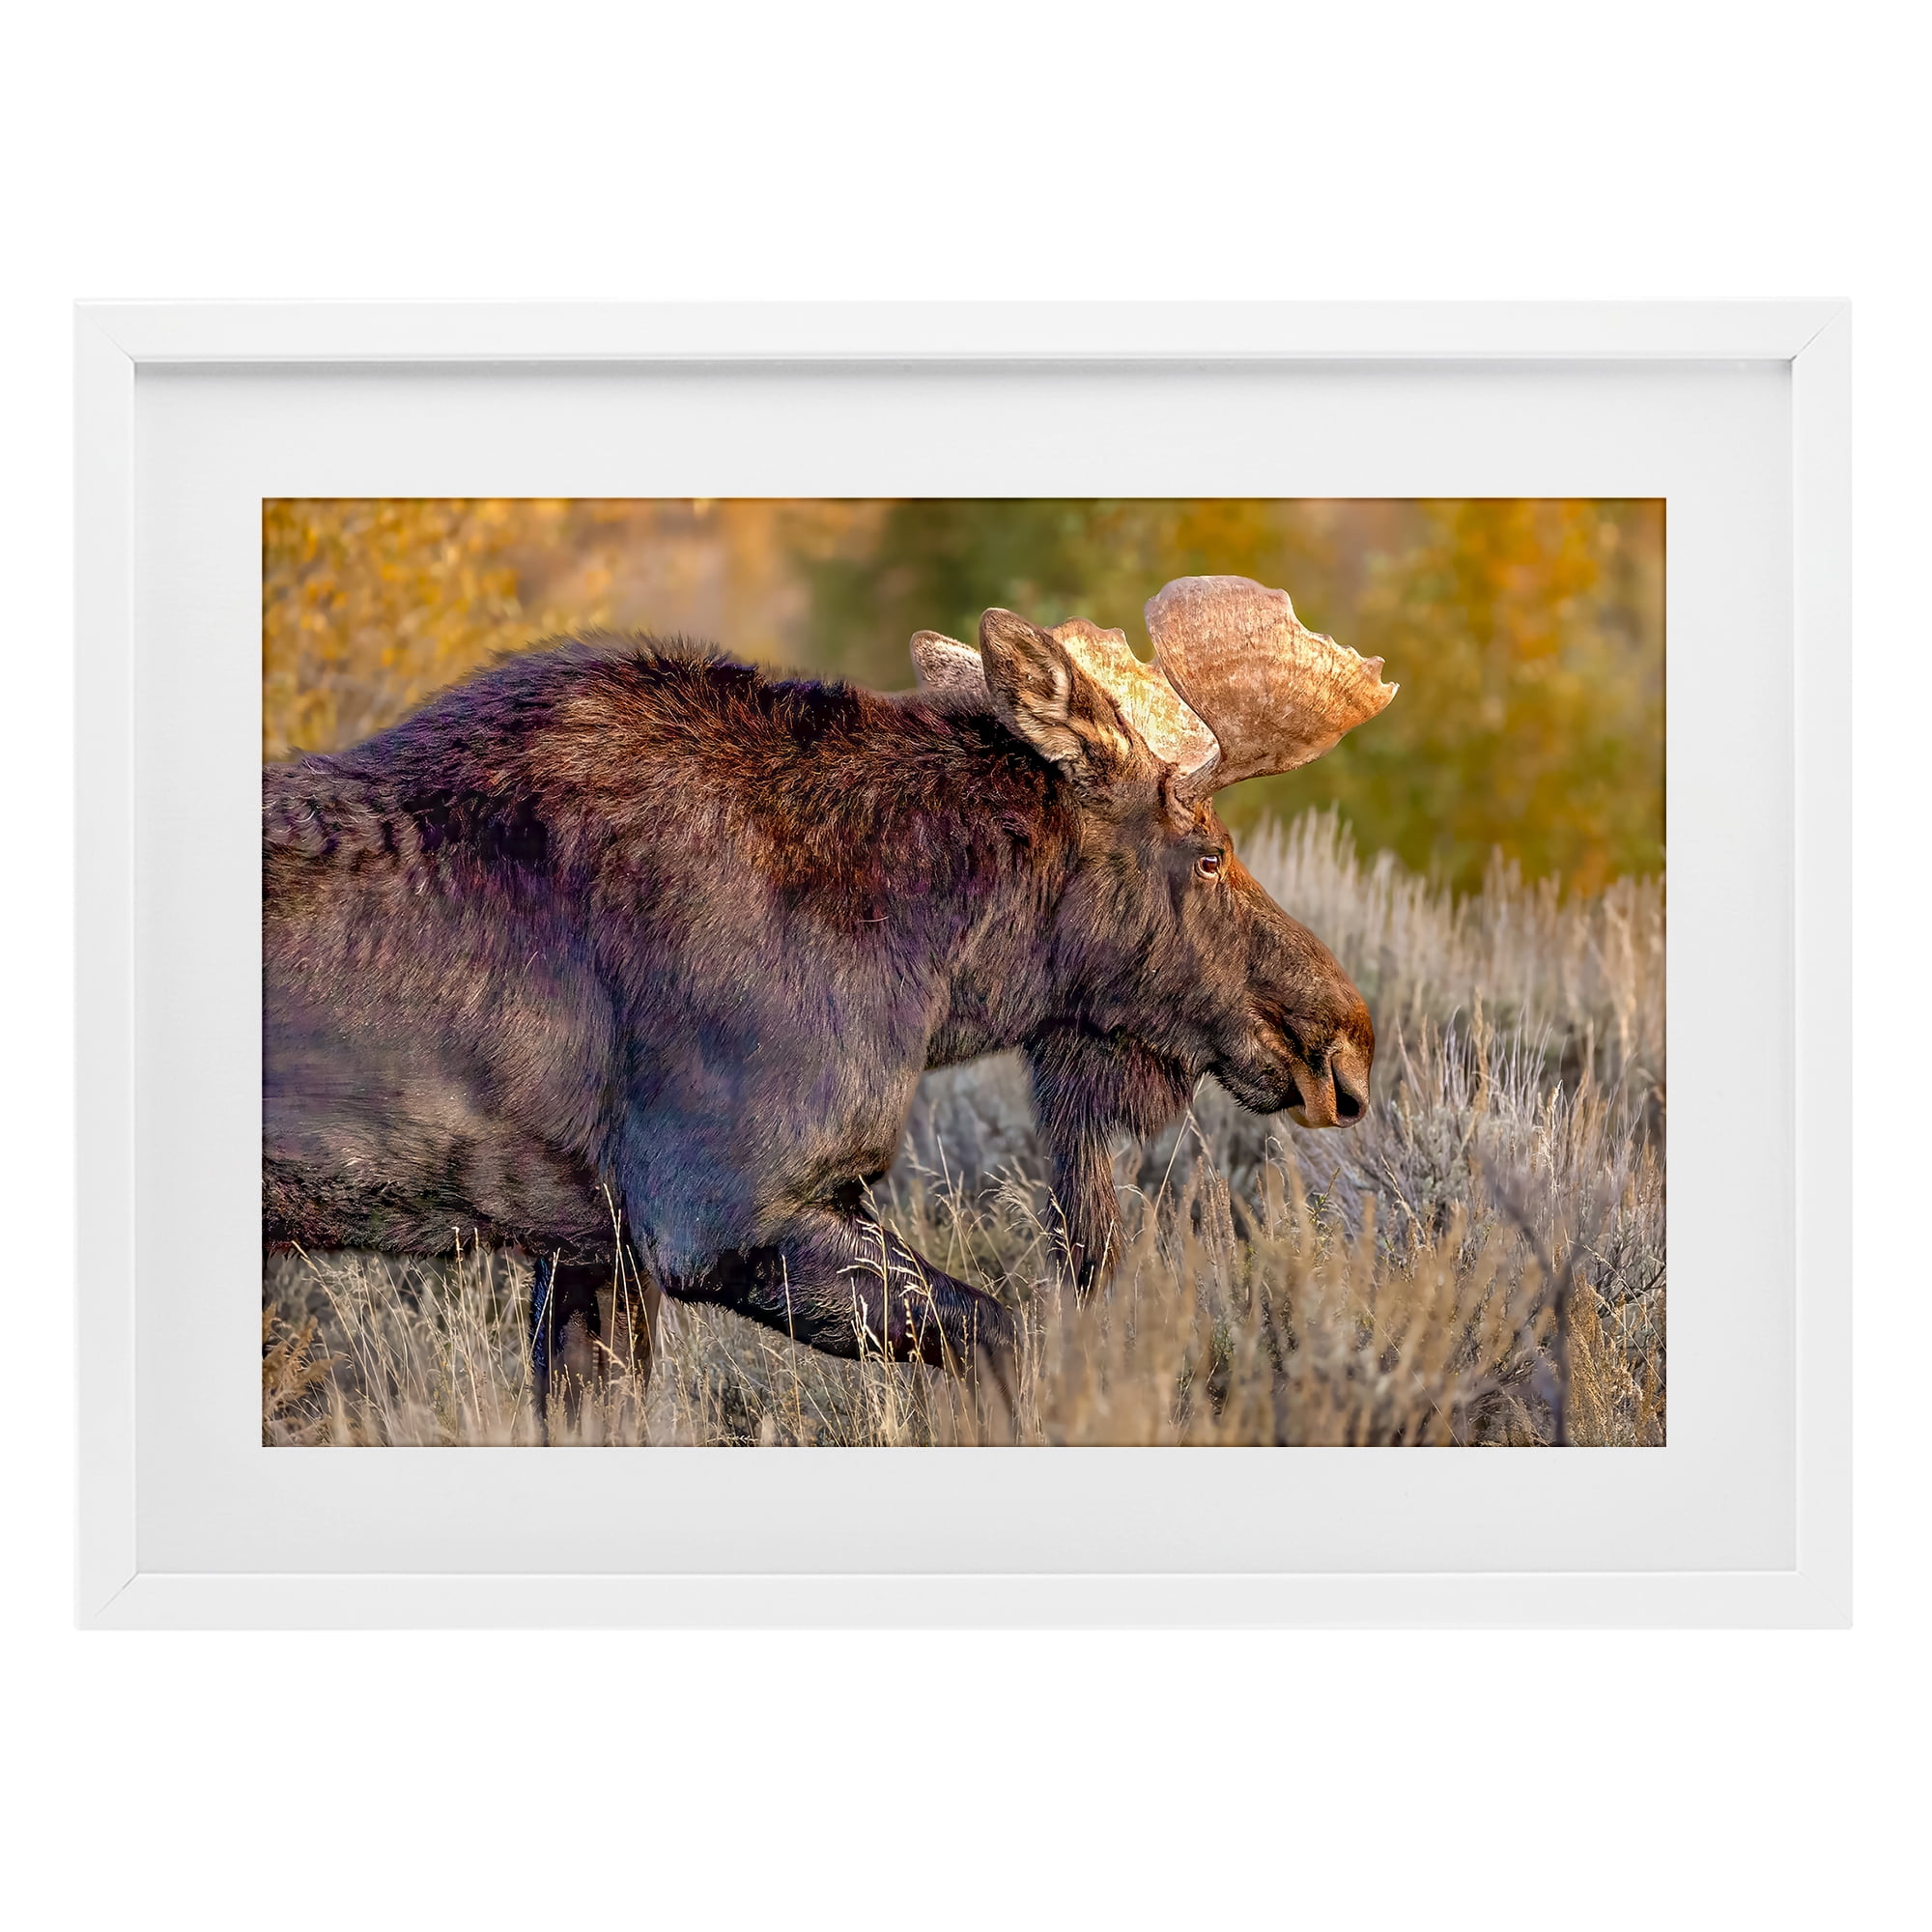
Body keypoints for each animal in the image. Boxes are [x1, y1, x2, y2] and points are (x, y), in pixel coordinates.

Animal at [262, 574, 1396, 1419]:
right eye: (1207, 853)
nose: (1342, 1037)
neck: (936, 970)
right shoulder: (723, 1215)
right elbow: (1007, 1337)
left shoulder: (591, 1248)